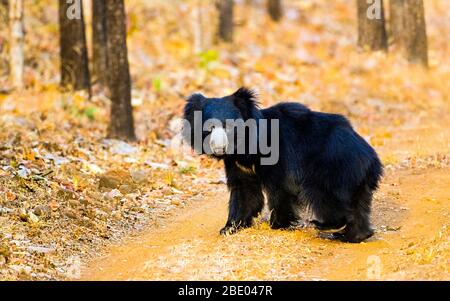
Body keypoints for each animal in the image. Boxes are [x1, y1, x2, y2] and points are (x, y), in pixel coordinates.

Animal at [183, 86, 384, 241]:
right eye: (209, 128)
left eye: (228, 126)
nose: (218, 147)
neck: (243, 148)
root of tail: (370, 158)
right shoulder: (237, 164)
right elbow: (244, 192)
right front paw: (229, 227)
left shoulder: (279, 155)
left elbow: (281, 187)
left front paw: (278, 224)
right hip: (355, 179)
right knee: (359, 205)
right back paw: (353, 235)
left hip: (330, 168)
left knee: (323, 196)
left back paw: (326, 225)